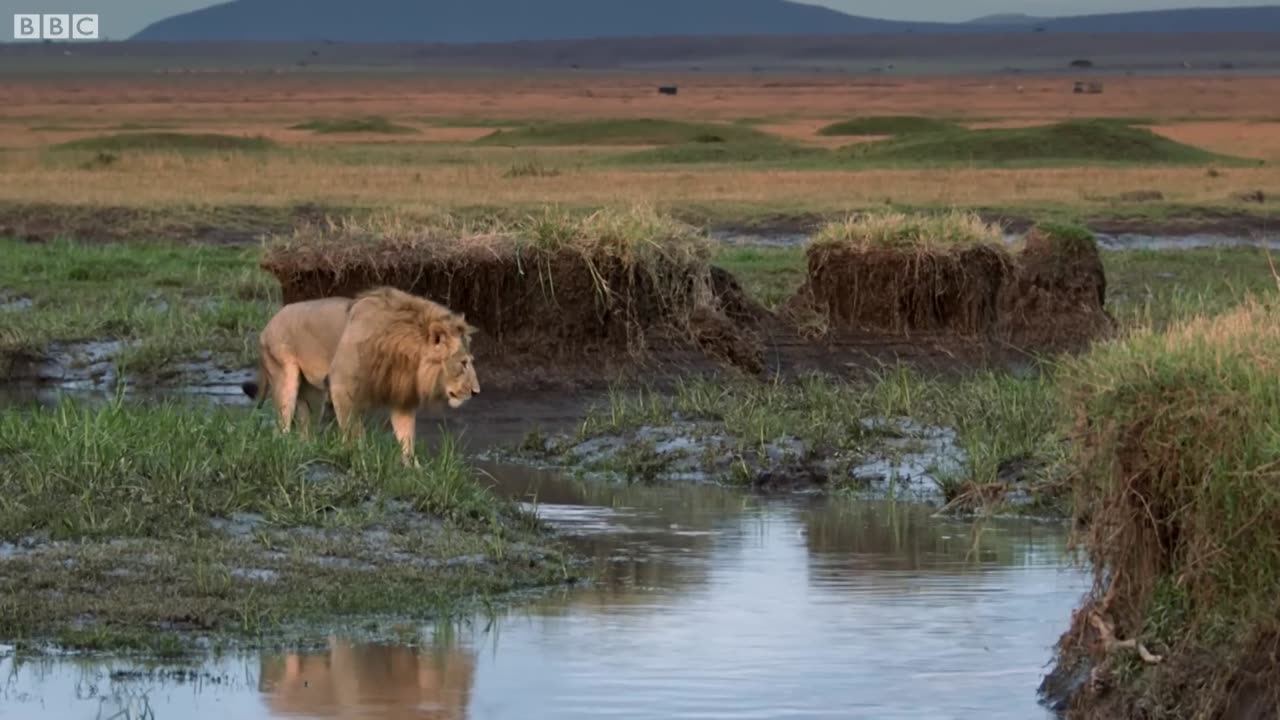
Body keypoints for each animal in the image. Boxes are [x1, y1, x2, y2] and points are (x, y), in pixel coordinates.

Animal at [322, 285, 478, 466]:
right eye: (463, 363)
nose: (476, 392)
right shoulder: (341, 385)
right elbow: (352, 430)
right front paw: (357, 458)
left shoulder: (402, 396)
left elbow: (406, 435)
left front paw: (411, 466)